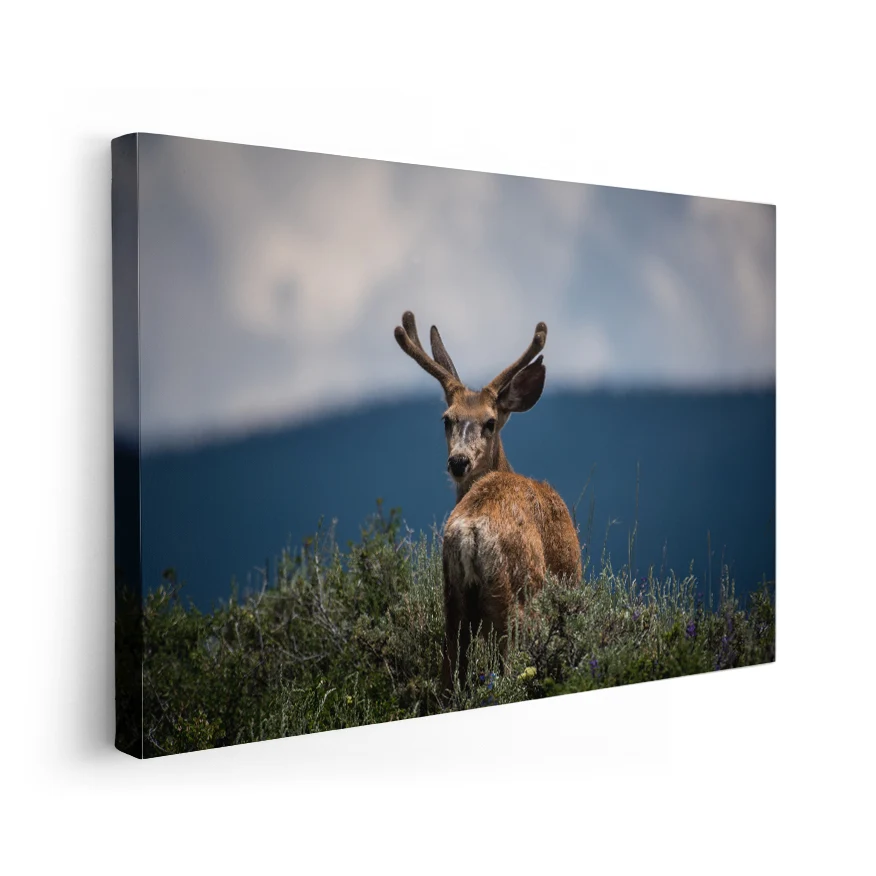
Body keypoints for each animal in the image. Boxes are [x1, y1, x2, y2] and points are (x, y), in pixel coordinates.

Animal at [394, 311, 581, 691]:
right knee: (509, 671)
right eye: (447, 419)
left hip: (452, 598)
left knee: (449, 677)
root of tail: (470, 534)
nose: (459, 461)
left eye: (490, 422)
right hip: (514, 599)